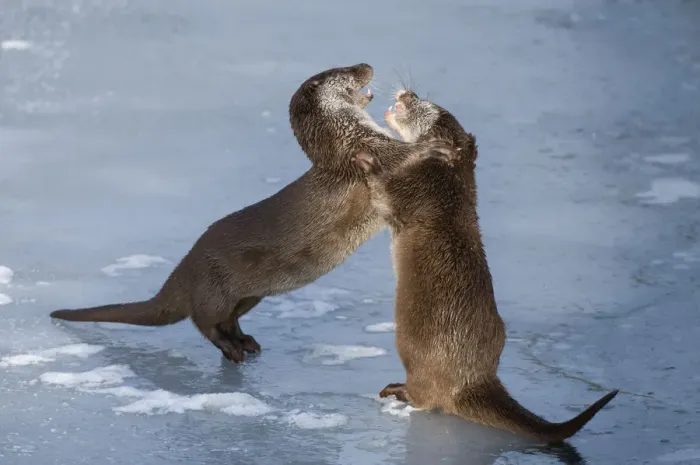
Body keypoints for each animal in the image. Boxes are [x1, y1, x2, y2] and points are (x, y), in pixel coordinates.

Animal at [50, 64, 450, 363]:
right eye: (346, 70)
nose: (366, 64)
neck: (347, 139)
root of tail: (183, 272)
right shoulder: (366, 153)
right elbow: (402, 156)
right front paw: (435, 146)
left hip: (249, 294)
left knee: (227, 320)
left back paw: (247, 342)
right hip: (213, 289)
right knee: (205, 324)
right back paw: (233, 350)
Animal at [353, 89, 618, 444]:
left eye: (426, 105)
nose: (406, 94)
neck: (448, 184)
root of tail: (472, 380)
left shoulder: (416, 190)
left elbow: (384, 194)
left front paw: (367, 160)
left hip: (411, 346)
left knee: (428, 398)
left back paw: (398, 390)